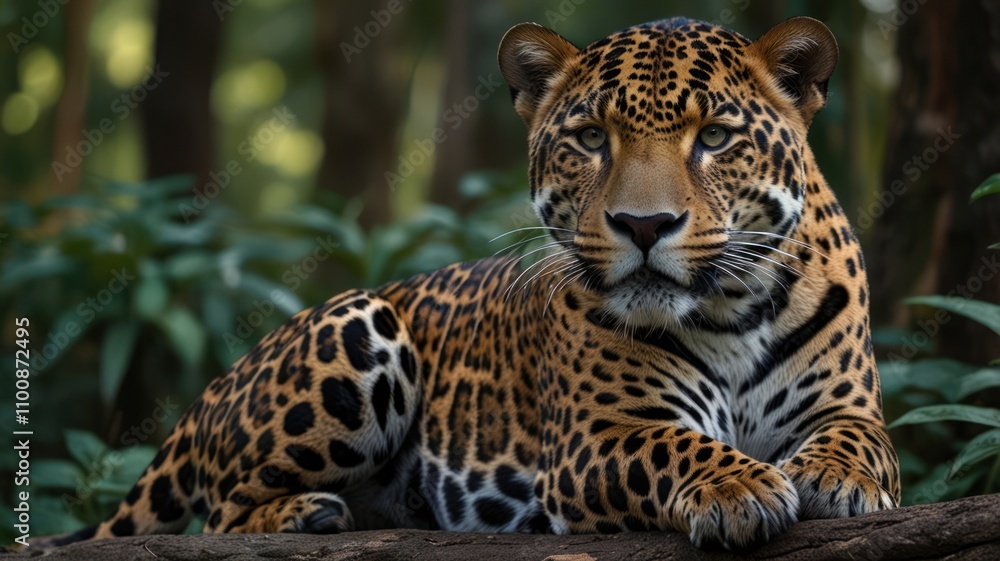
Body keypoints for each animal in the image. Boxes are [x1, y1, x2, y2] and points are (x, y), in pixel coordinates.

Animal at [41, 15, 900, 551]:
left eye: (715, 137)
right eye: (591, 138)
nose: (643, 224)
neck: (729, 309)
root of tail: (218, 384)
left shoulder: (846, 402)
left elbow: (865, 439)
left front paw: (835, 476)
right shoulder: (601, 435)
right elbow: (676, 445)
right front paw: (739, 488)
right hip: (361, 324)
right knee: (217, 515)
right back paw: (307, 512)